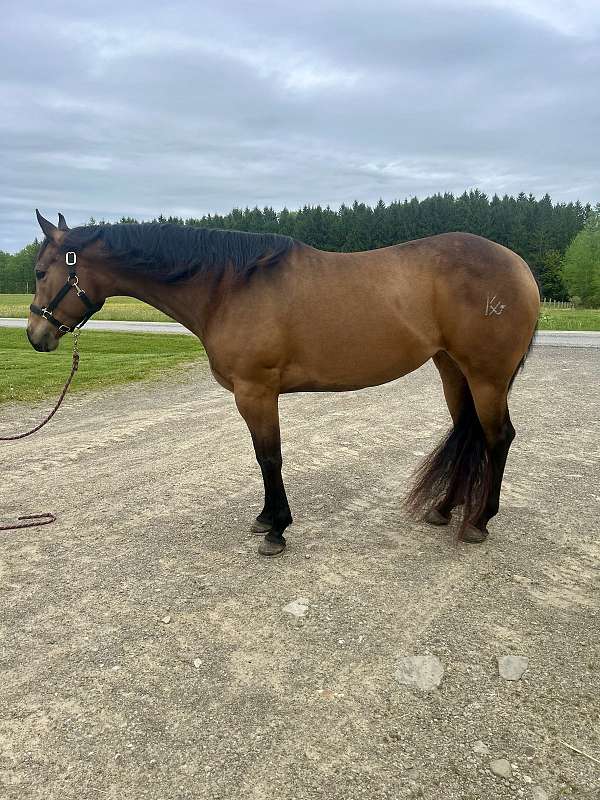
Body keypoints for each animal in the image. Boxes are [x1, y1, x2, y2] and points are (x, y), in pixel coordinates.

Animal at [27, 211, 540, 556]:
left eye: (39, 271)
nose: (36, 335)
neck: (229, 286)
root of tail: (518, 266)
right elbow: (264, 458)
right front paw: (265, 519)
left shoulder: (255, 391)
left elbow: (268, 457)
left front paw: (276, 529)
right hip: (453, 369)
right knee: (468, 432)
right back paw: (445, 510)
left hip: (487, 376)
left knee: (498, 437)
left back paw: (478, 521)